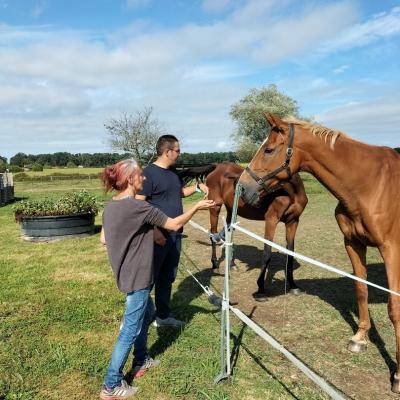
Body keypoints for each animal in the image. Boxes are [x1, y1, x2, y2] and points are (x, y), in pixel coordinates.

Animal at [205, 161, 308, 298]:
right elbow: (267, 253)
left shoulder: (293, 221)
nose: (242, 189)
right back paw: (215, 264)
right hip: (214, 208)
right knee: (213, 235)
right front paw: (261, 289)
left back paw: (231, 265)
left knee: (227, 236)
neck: (291, 193)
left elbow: (290, 253)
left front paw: (293, 286)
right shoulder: (271, 220)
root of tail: (216, 167)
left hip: (231, 210)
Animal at [239, 114, 400, 392]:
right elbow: (361, 289)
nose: (243, 187)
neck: (370, 185)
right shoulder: (353, 244)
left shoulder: (391, 250)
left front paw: (398, 375)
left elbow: (394, 307)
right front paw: (360, 338)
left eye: (268, 149)